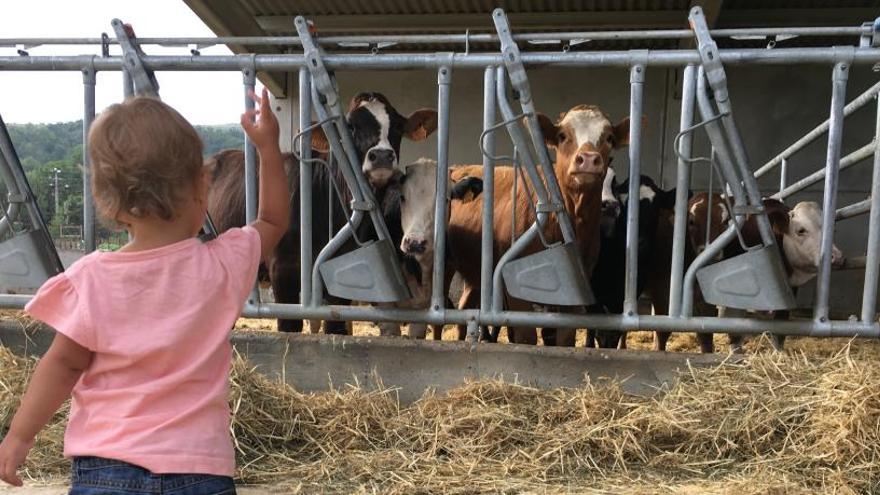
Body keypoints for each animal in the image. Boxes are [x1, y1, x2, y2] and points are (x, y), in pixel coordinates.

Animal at [207, 91, 440, 336]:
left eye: (397, 126)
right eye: (350, 126)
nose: (382, 155)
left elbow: (335, 326)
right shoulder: (283, 272)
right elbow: (290, 327)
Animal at [446, 103, 632, 344]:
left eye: (609, 137)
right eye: (563, 136)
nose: (589, 158)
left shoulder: (577, 287)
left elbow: (565, 336)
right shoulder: (513, 288)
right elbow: (525, 336)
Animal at [672, 196, 844, 354]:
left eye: (833, 230)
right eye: (801, 230)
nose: (836, 257)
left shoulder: (788, 289)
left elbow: (781, 326)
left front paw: (778, 353)